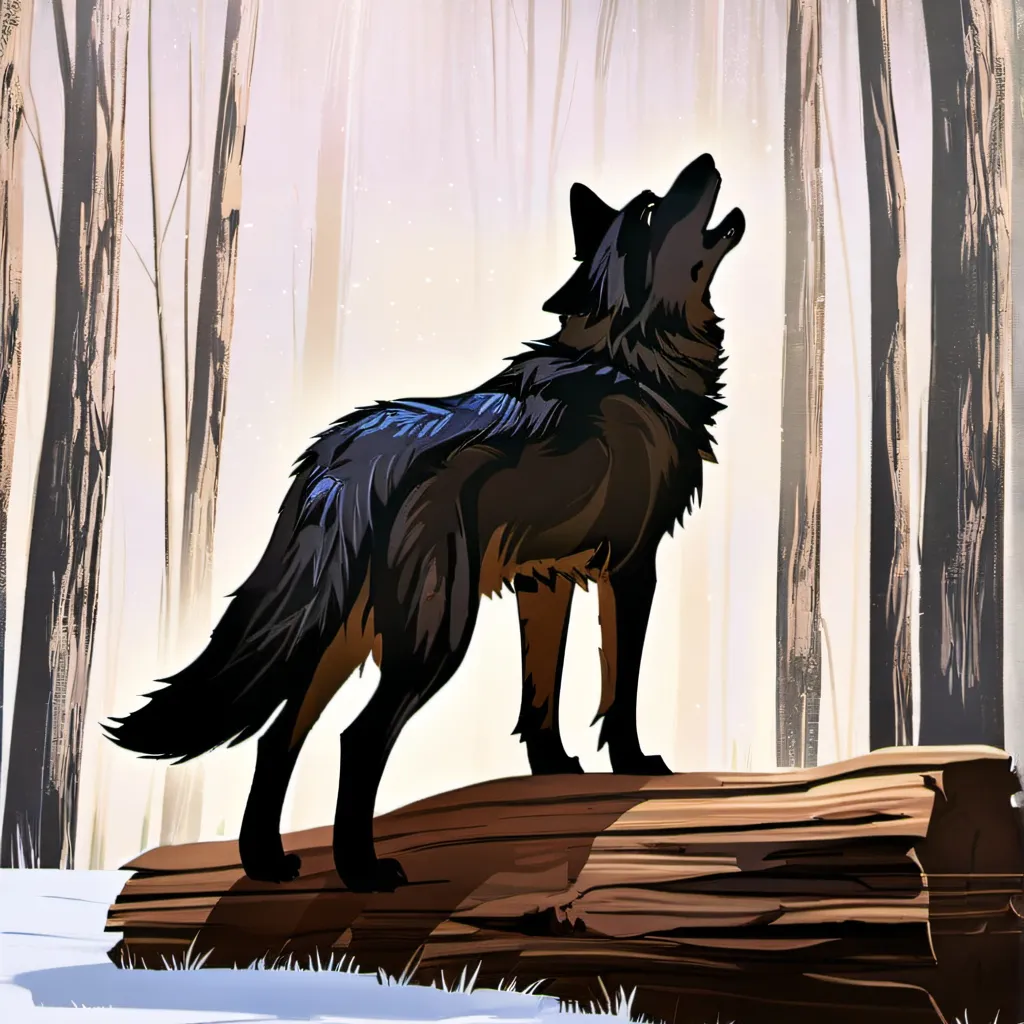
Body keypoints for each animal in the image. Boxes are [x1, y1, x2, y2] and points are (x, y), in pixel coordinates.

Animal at [105, 153, 745, 893]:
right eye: (651, 206)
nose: (707, 159)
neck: (629, 359)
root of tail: (348, 454)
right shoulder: (632, 569)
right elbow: (622, 691)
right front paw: (635, 766)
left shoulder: (545, 581)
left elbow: (541, 697)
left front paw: (554, 775)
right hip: (435, 638)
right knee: (357, 740)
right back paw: (362, 870)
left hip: (341, 640)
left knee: (278, 737)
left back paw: (266, 861)